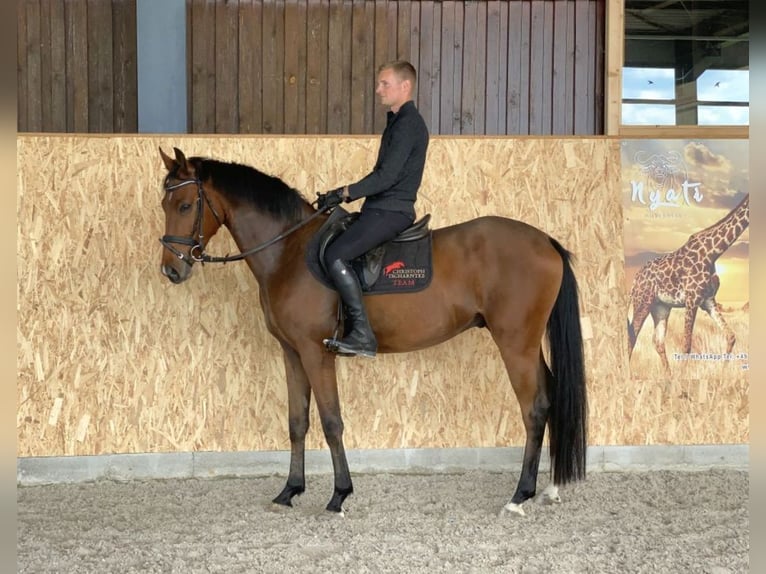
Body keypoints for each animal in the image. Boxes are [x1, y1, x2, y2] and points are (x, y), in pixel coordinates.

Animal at [158, 147, 588, 516]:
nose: (171, 270)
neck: (289, 251)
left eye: (185, 205)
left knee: (534, 408)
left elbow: (331, 422)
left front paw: (339, 495)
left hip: (515, 343)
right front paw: (289, 491)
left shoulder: (315, 352)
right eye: (164, 205)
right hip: (528, 345)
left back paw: (519, 496)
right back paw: (549, 489)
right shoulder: (292, 352)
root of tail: (545, 241)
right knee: (552, 398)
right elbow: (298, 422)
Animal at [632, 194, 752, 374]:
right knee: (631, 336)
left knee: (657, 341)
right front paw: (683, 378)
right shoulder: (692, 300)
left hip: (660, 308)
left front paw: (722, 373)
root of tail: (634, 281)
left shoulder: (708, 301)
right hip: (642, 303)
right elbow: (686, 345)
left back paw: (668, 375)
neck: (713, 252)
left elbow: (731, 336)